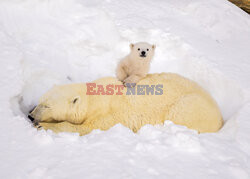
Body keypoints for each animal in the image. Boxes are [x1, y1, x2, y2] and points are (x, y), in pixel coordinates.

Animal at [28, 72, 223, 134]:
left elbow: (87, 128)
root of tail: (221, 117)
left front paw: (43, 125)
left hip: (191, 107)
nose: (30, 116)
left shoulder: (109, 114)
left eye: (47, 106)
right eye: (40, 101)